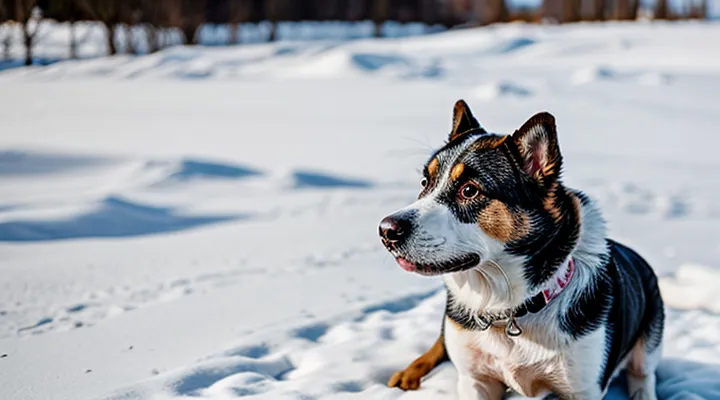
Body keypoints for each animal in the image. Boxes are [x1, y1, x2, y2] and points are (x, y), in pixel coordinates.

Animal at [376, 100, 664, 400]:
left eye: (469, 190)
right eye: (425, 183)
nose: (386, 231)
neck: (507, 308)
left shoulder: (583, 388)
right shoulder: (475, 379)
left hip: (651, 336)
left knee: (643, 374)